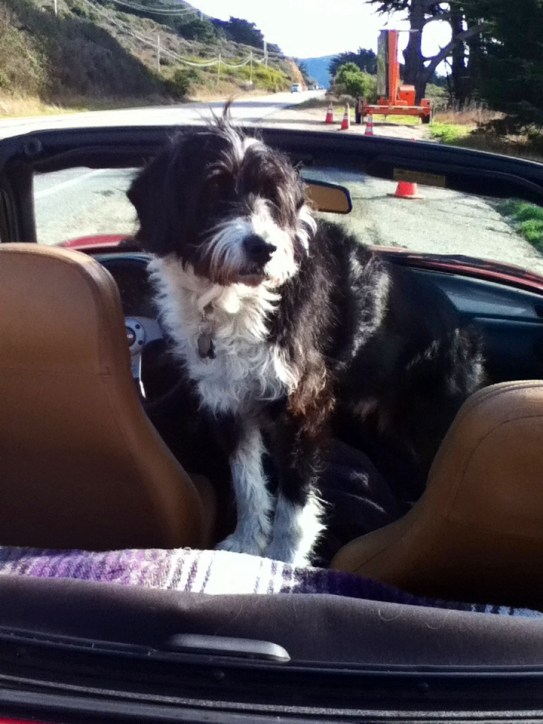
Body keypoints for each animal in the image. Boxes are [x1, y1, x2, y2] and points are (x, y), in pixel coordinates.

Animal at [128, 115, 484, 566]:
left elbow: (294, 500)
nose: (263, 248)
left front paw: (284, 560)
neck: (236, 298)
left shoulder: (303, 404)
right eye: (213, 189)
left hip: (431, 423)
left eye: (273, 198)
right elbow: (247, 483)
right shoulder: (226, 399)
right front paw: (246, 544)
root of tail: (462, 327)